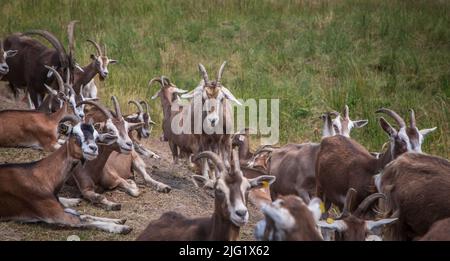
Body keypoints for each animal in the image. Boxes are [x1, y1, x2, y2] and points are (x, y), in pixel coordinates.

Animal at [0, 118, 132, 234]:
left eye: (97, 137)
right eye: (75, 134)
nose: (93, 148)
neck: (41, 176)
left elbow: (85, 216)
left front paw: (119, 220)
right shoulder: (54, 214)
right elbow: (82, 221)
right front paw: (121, 228)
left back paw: (73, 201)